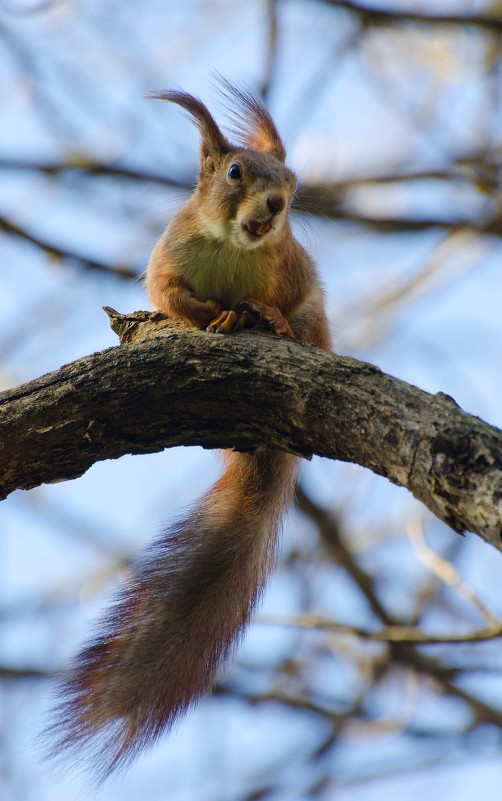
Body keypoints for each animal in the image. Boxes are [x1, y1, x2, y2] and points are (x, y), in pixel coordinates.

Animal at [52, 78, 330, 780]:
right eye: (235, 172)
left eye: (292, 181)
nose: (276, 206)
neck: (234, 246)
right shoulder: (167, 262)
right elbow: (173, 297)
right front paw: (218, 317)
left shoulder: (291, 269)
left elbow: (288, 304)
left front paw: (266, 319)